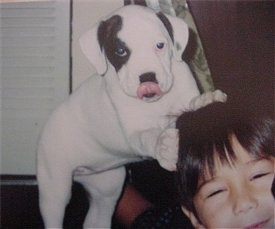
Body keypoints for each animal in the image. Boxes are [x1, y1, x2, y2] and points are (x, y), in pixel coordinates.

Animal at [36, 4, 226, 228]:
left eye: (160, 45)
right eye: (120, 51)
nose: (147, 77)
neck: (155, 103)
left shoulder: (184, 98)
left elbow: (191, 104)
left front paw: (207, 100)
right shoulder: (135, 132)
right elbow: (149, 135)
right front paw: (164, 146)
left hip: (107, 188)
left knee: (97, 218)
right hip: (55, 190)